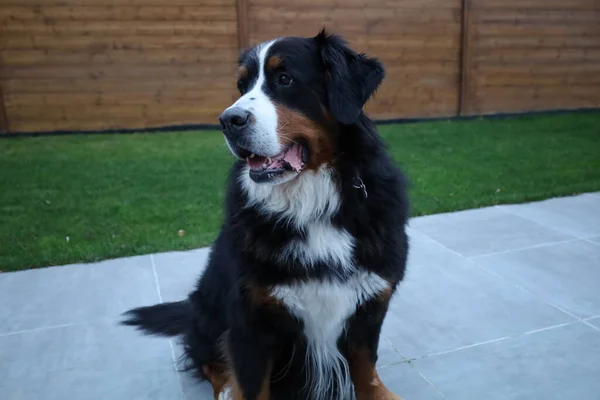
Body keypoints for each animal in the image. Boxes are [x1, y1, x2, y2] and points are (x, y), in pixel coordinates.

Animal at [123, 28, 410, 400]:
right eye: (241, 86)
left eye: (285, 79)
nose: (228, 121)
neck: (312, 205)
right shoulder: (251, 320)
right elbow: (250, 382)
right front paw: (236, 387)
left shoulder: (370, 303)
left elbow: (365, 367)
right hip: (207, 308)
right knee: (204, 355)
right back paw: (225, 388)